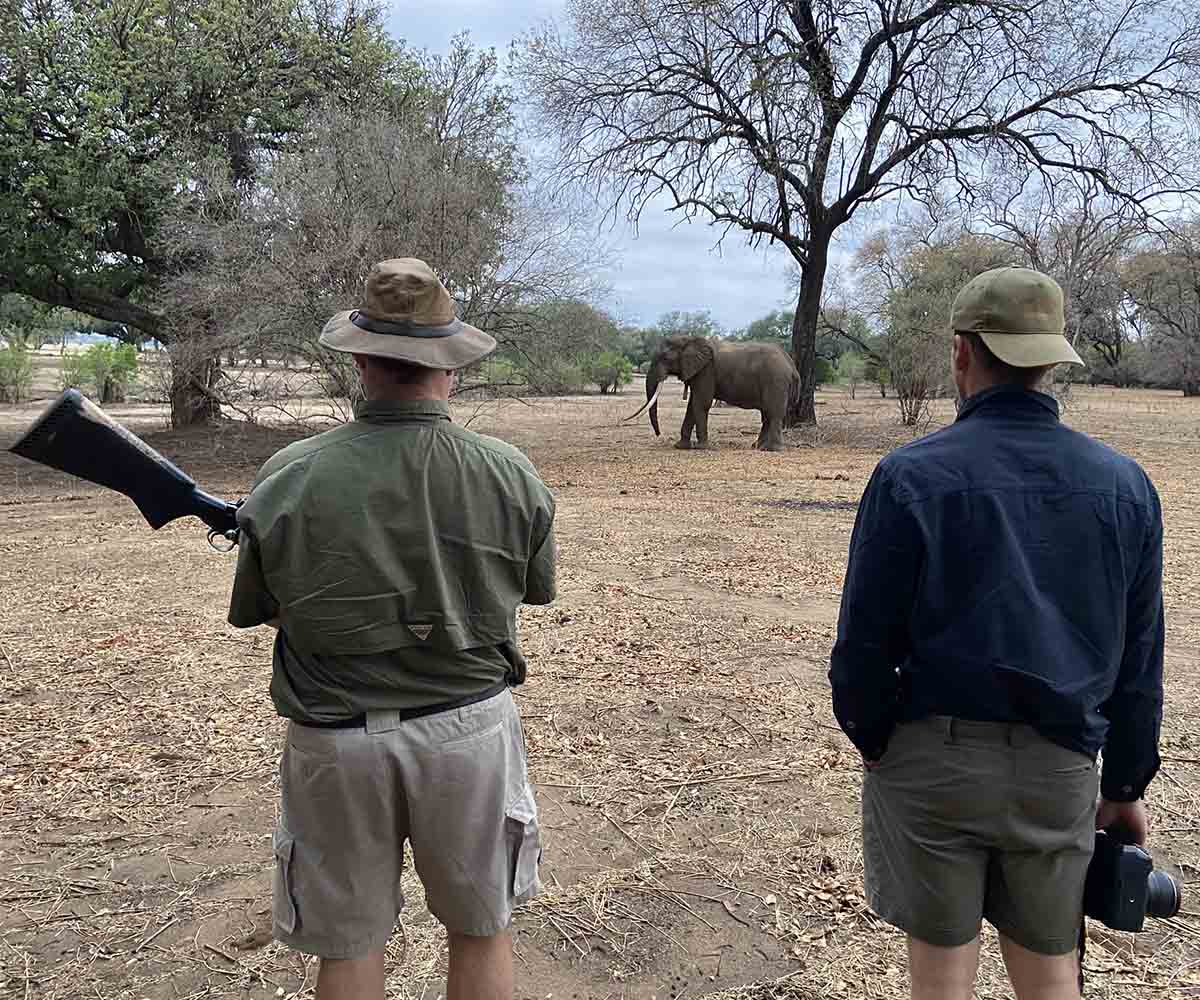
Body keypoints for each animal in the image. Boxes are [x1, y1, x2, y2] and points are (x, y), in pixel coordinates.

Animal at [628, 333, 796, 451]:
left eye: (665, 358)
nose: (658, 434)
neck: (689, 339)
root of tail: (791, 365)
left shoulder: (706, 371)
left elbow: (700, 403)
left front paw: (701, 447)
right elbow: (691, 406)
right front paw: (681, 446)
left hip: (776, 381)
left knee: (773, 413)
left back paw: (771, 449)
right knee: (767, 414)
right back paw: (758, 447)